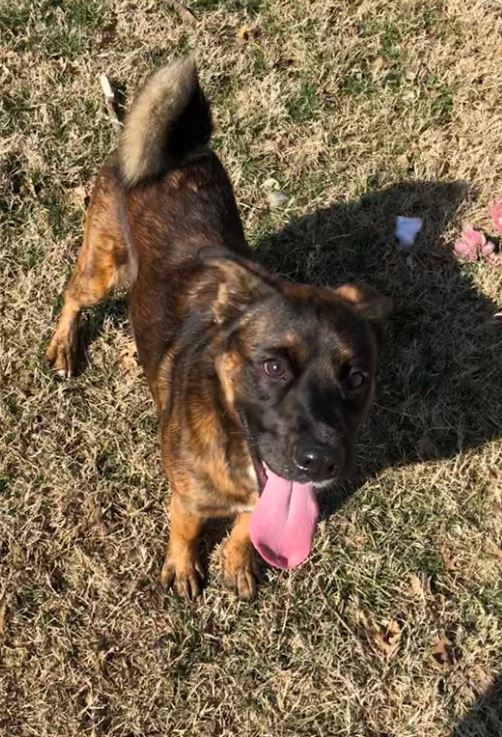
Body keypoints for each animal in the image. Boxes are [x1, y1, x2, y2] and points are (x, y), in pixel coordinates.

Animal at [47, 57, 392, 600]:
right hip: (102, 267)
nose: (319, 462)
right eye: (272, 367)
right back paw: (63, 344)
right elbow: (186, 529)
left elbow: (247, 529)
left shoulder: (261, 499)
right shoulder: (188, 496)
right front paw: (184, 567)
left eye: (357, 378)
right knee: (72, 296)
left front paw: (237, 560)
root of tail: (178, 151)